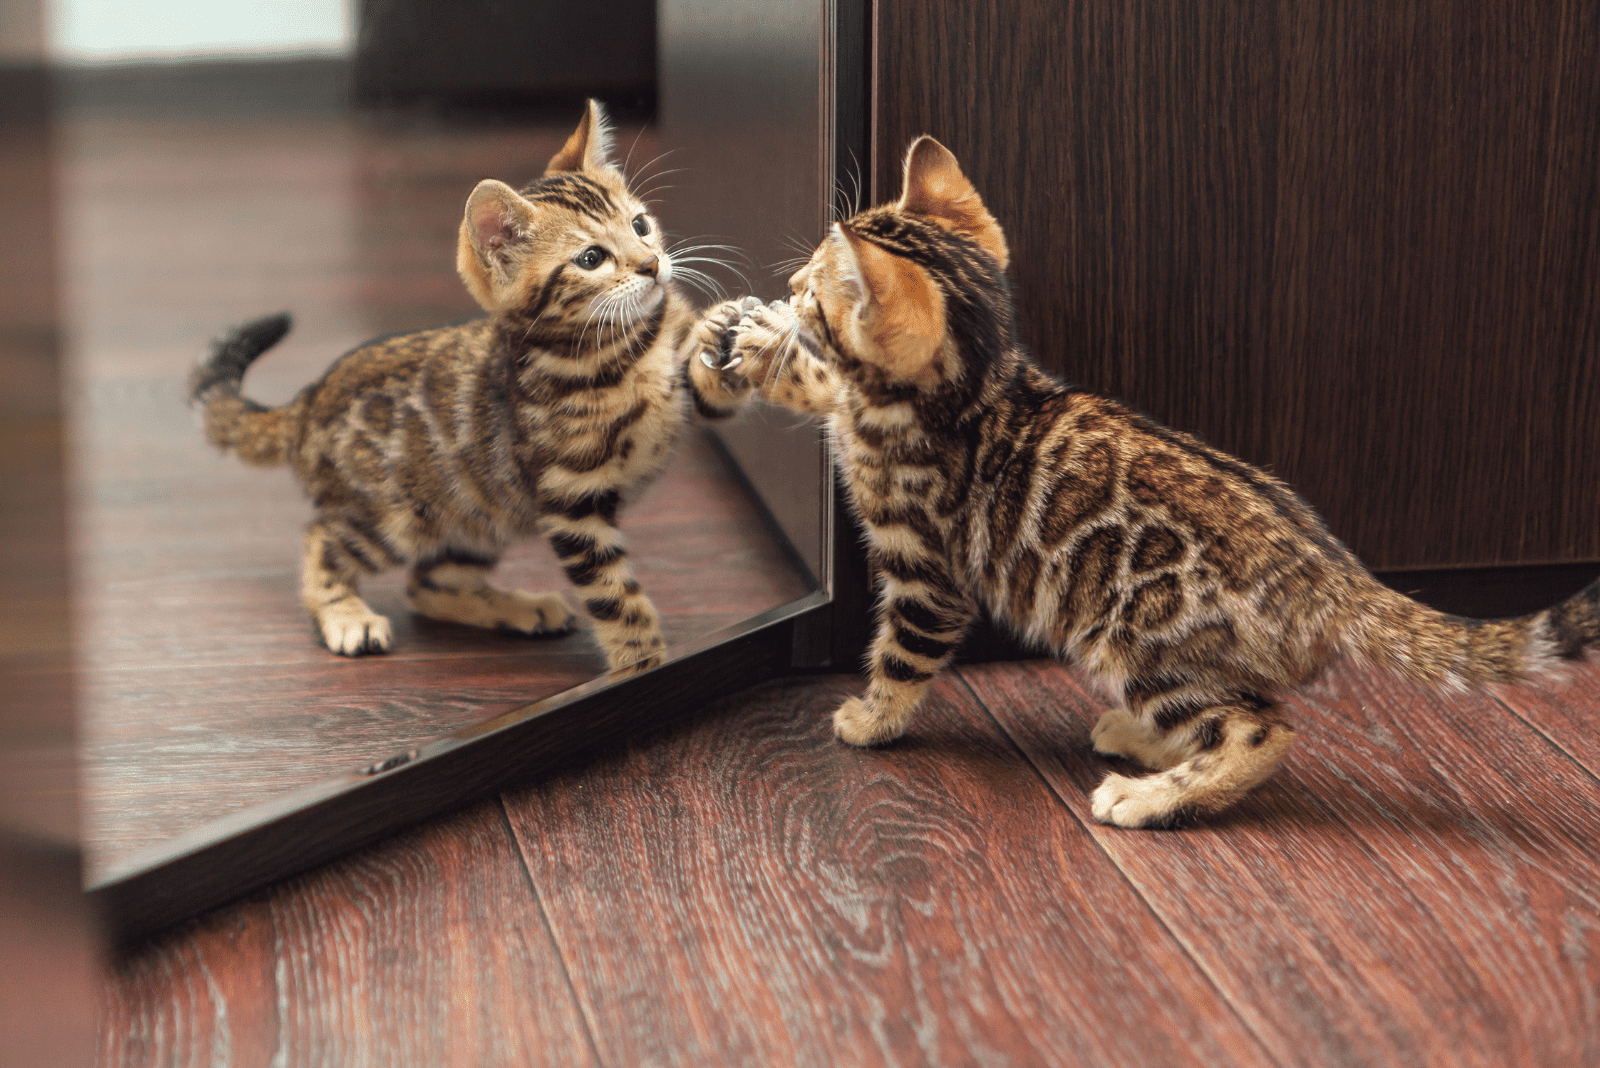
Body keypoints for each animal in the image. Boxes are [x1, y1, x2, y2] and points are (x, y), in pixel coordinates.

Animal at [190, 99, 752, 668]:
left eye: (640, 225)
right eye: (592, 258)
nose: (653, 264)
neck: (624, 350)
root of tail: (306, 400)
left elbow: (710, 384)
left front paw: (729, 332)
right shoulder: (573, 500)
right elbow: (616, 598)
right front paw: (642, 663)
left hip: (478, 511)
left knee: (427, 583)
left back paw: (522, 610)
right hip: (395, 518)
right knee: (323, 540)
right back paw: (346, 616)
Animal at [713, 137, 1600, 831]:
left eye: (819, 288)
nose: (789, 287)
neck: (976, 386)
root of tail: (1333, 577)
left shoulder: (927, 574)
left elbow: (903, 654)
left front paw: (871, 718)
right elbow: (825, 387)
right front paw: (759, 347)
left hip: (1139, 639)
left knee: (1258, 731)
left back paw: (1148, 797)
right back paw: (1141, 743)